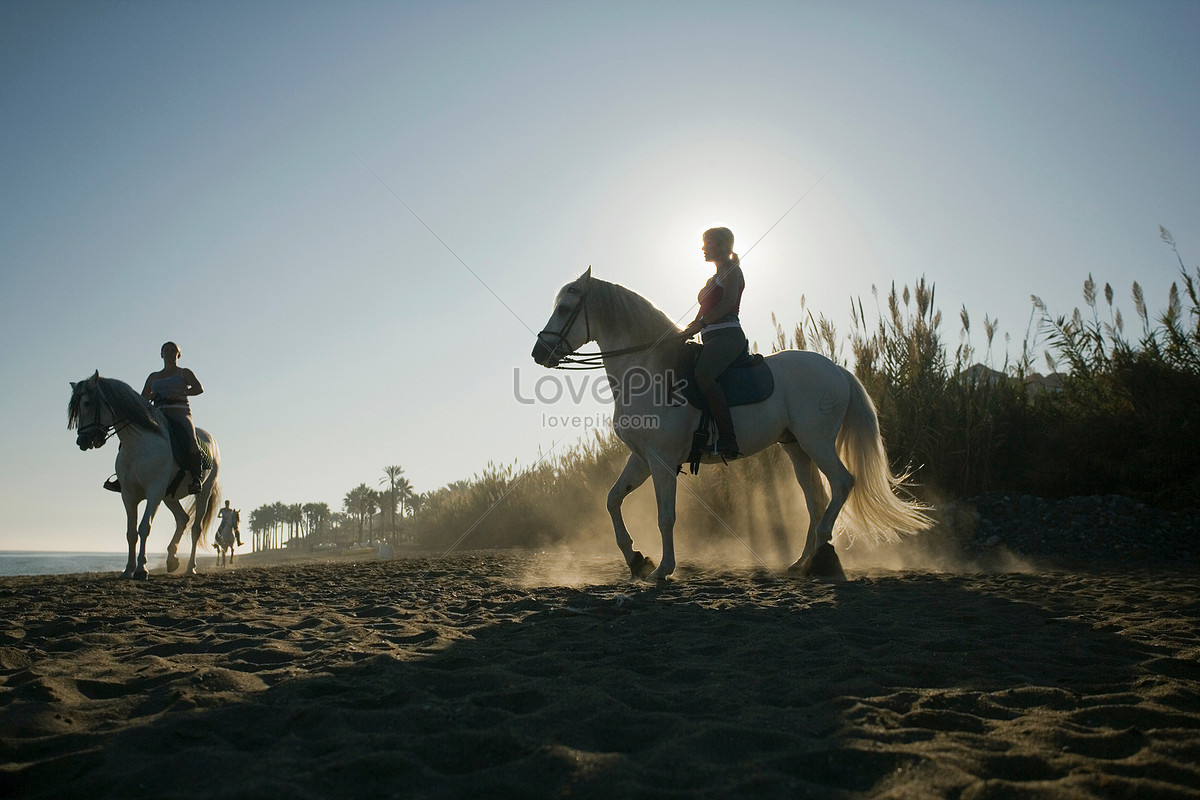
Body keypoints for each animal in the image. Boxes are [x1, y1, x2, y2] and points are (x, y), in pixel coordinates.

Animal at [69, 371, 222, 578]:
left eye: (86, 403)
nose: (82, 441)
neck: (138, 443)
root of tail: (210, 440)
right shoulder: (129, 495)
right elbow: (131, 533)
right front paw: (128, 570)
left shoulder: (154, 491)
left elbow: (143, 528)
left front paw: (141, 569)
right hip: (169, 496)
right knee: (182, 519)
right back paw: (172, 559)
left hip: (202, 493)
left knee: (195, 528)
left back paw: (190, 567)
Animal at [530, 268, 931, 582]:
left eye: (564, 308)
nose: (538, 353)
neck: (649, 371)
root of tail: (837, 369)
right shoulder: (642, 458)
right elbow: (612, 500)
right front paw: (636, 561)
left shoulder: (661, 461)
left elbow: (665, 516)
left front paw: (663, 569)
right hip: (796, 447)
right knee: (814, 498)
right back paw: (801, 562)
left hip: (816, 442)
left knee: (843, 483)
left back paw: (821, 558)